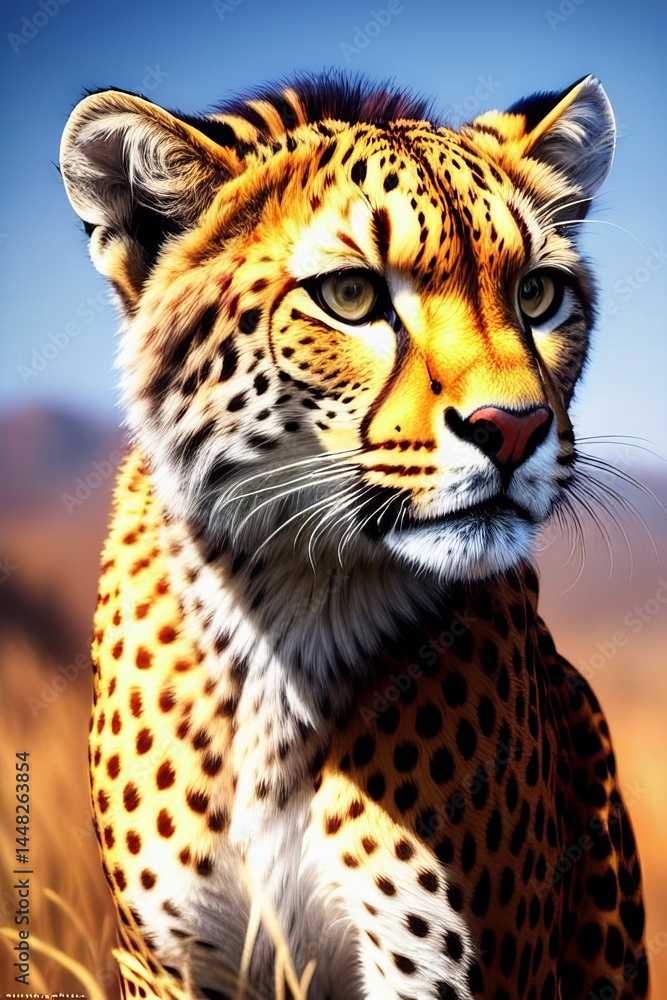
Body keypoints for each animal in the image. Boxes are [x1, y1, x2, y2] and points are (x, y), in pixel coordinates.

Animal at [59, 72, 649, 999]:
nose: (513, 428)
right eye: (350, 297)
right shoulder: (169, 964)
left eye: (535, 294)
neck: (289, 602)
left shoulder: (432, 967)